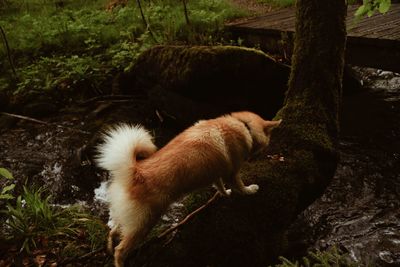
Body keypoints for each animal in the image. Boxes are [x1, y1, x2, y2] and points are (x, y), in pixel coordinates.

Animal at [96, 112, 282, 266]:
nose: (264, 152)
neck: (243, 124)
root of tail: (136, 173)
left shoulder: (216, 173)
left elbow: (220, 186)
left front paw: (224, 193)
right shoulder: (233, 173)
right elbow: (240, 186)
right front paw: (250, 190)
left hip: (129, 218)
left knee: (114, 231)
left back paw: (109, 247)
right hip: (144, 223)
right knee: (121, 250)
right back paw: (119, 260)